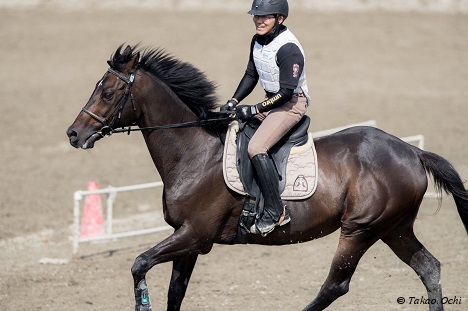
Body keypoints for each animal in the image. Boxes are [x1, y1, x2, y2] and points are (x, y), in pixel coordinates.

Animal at [66, 44, 468, 311]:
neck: (195, 152)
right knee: (429, 269)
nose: (73, 134)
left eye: (109, 92)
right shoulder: (188, 239)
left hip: (361, 230)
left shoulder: (195, 235)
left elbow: (139, 264)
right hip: (394, 228)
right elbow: (174, 292)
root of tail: (412, 152)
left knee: (335, 285)